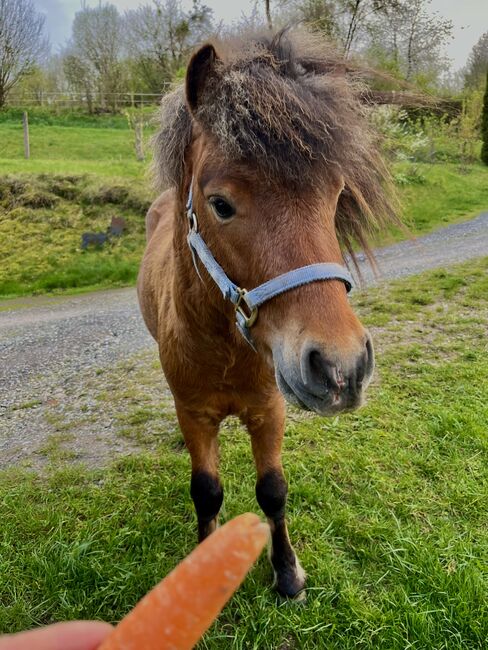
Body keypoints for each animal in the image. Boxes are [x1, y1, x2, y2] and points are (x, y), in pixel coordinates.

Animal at [137, 29, 396, 596]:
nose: (342, 366)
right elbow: (206, 490)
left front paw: (287, 574)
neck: (225, 345)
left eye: (336, 195)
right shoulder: (196, 412)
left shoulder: (270, 409)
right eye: (220, 204)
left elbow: (273, 490)